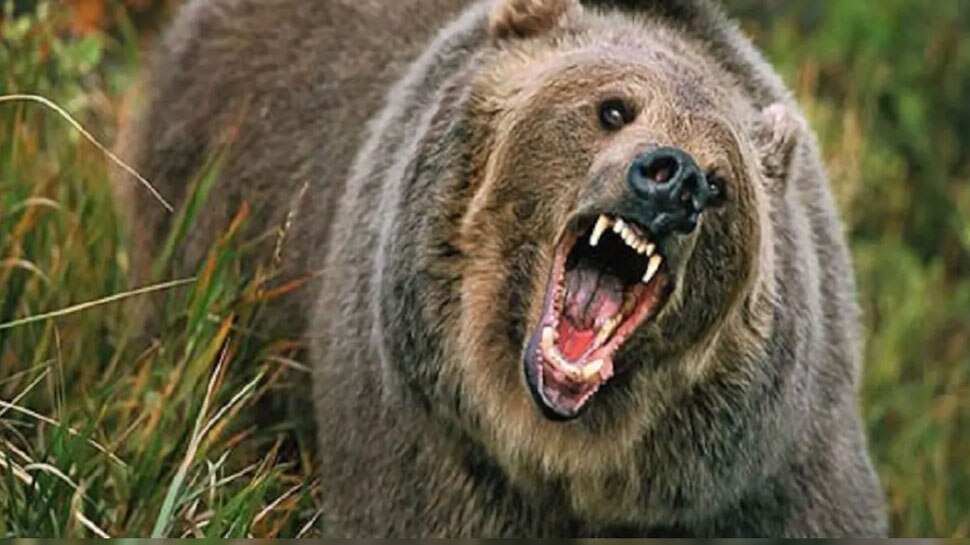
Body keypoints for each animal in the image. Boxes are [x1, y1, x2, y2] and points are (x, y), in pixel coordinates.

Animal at [117, 0, 888, 537]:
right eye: (613, 107)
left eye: (723, 184)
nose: (676, 180)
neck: (568, 454)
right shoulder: (431, 436)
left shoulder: (764, 475)